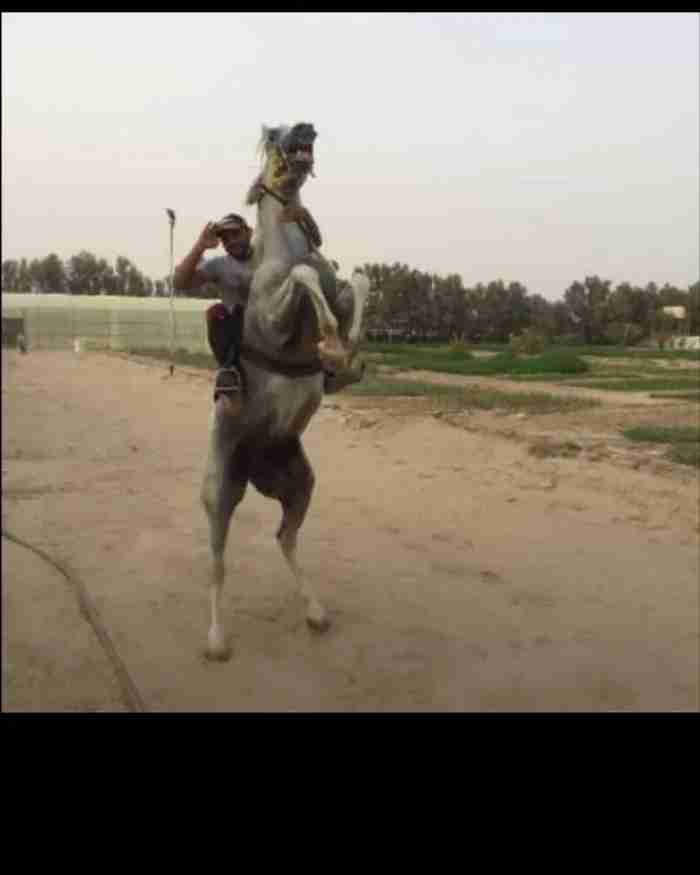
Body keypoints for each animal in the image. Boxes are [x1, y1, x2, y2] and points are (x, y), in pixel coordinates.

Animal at [200, 121, 370, 656]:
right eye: (272, 133)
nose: (304, 128)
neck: (282, 248)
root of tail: (257, 468)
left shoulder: (342, 287)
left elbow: (358, 281)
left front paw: (344, 355)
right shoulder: (274, 319)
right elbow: (303, 274)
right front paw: (333, 346)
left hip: (300, 485)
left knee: (284, 537)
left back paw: (316, 612)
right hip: (219, 491)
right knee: (217, 559)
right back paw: (216, 640)